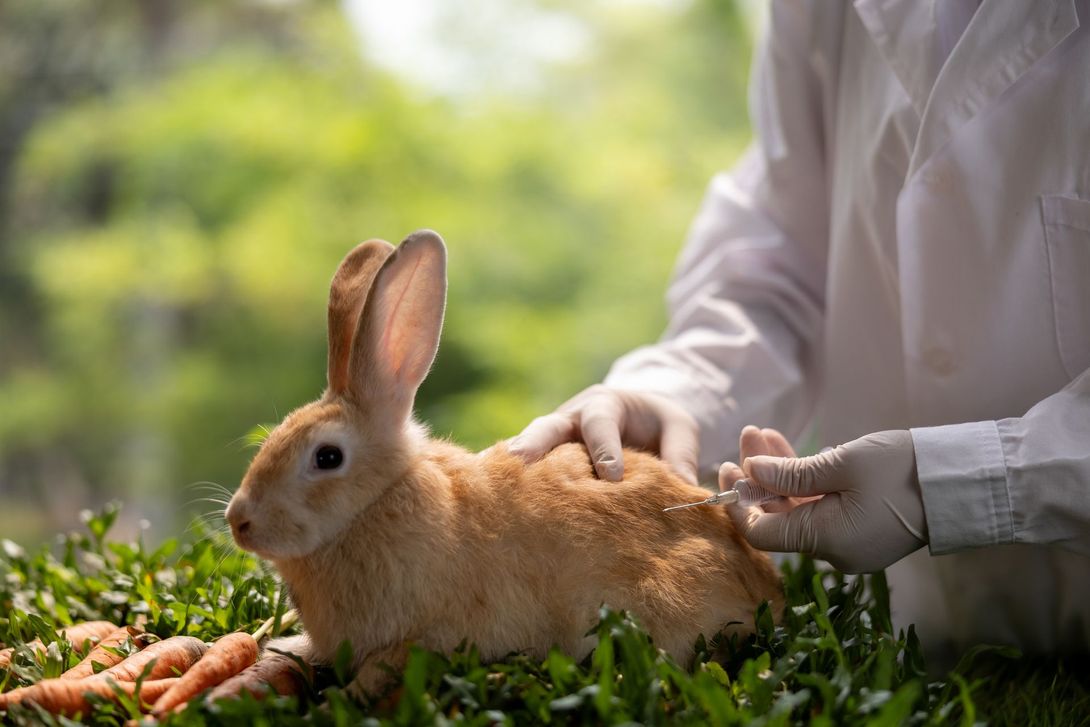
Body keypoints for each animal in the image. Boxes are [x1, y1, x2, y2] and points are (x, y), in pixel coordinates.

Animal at [225, 230, 783, 696]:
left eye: (328, 457)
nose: (238, 522)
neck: (374, 505)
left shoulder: (428, 636)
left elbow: (382, 668)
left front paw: (340, 698)